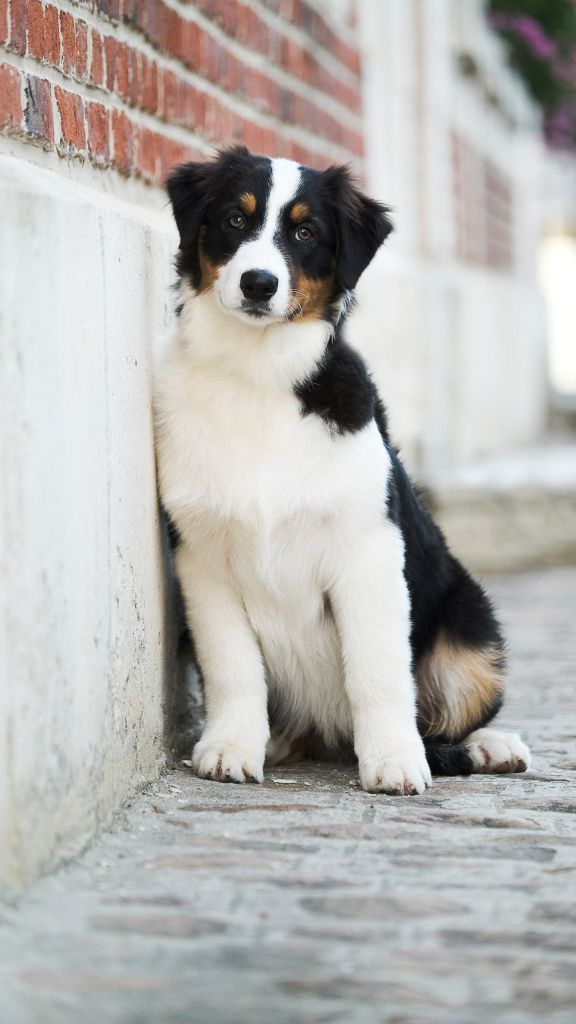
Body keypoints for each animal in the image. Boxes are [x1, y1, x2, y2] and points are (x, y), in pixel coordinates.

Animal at [152, 146, 528, 790]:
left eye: (306, 233)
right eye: (234, 219)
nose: (259, 283)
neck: (258, 375)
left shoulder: (367, 549)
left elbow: (378, 671)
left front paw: (394, 761)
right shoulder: (202, 558)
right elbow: (232, 666)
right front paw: (230, 747)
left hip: (471, 627)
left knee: (455, 711)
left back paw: (490, 746)